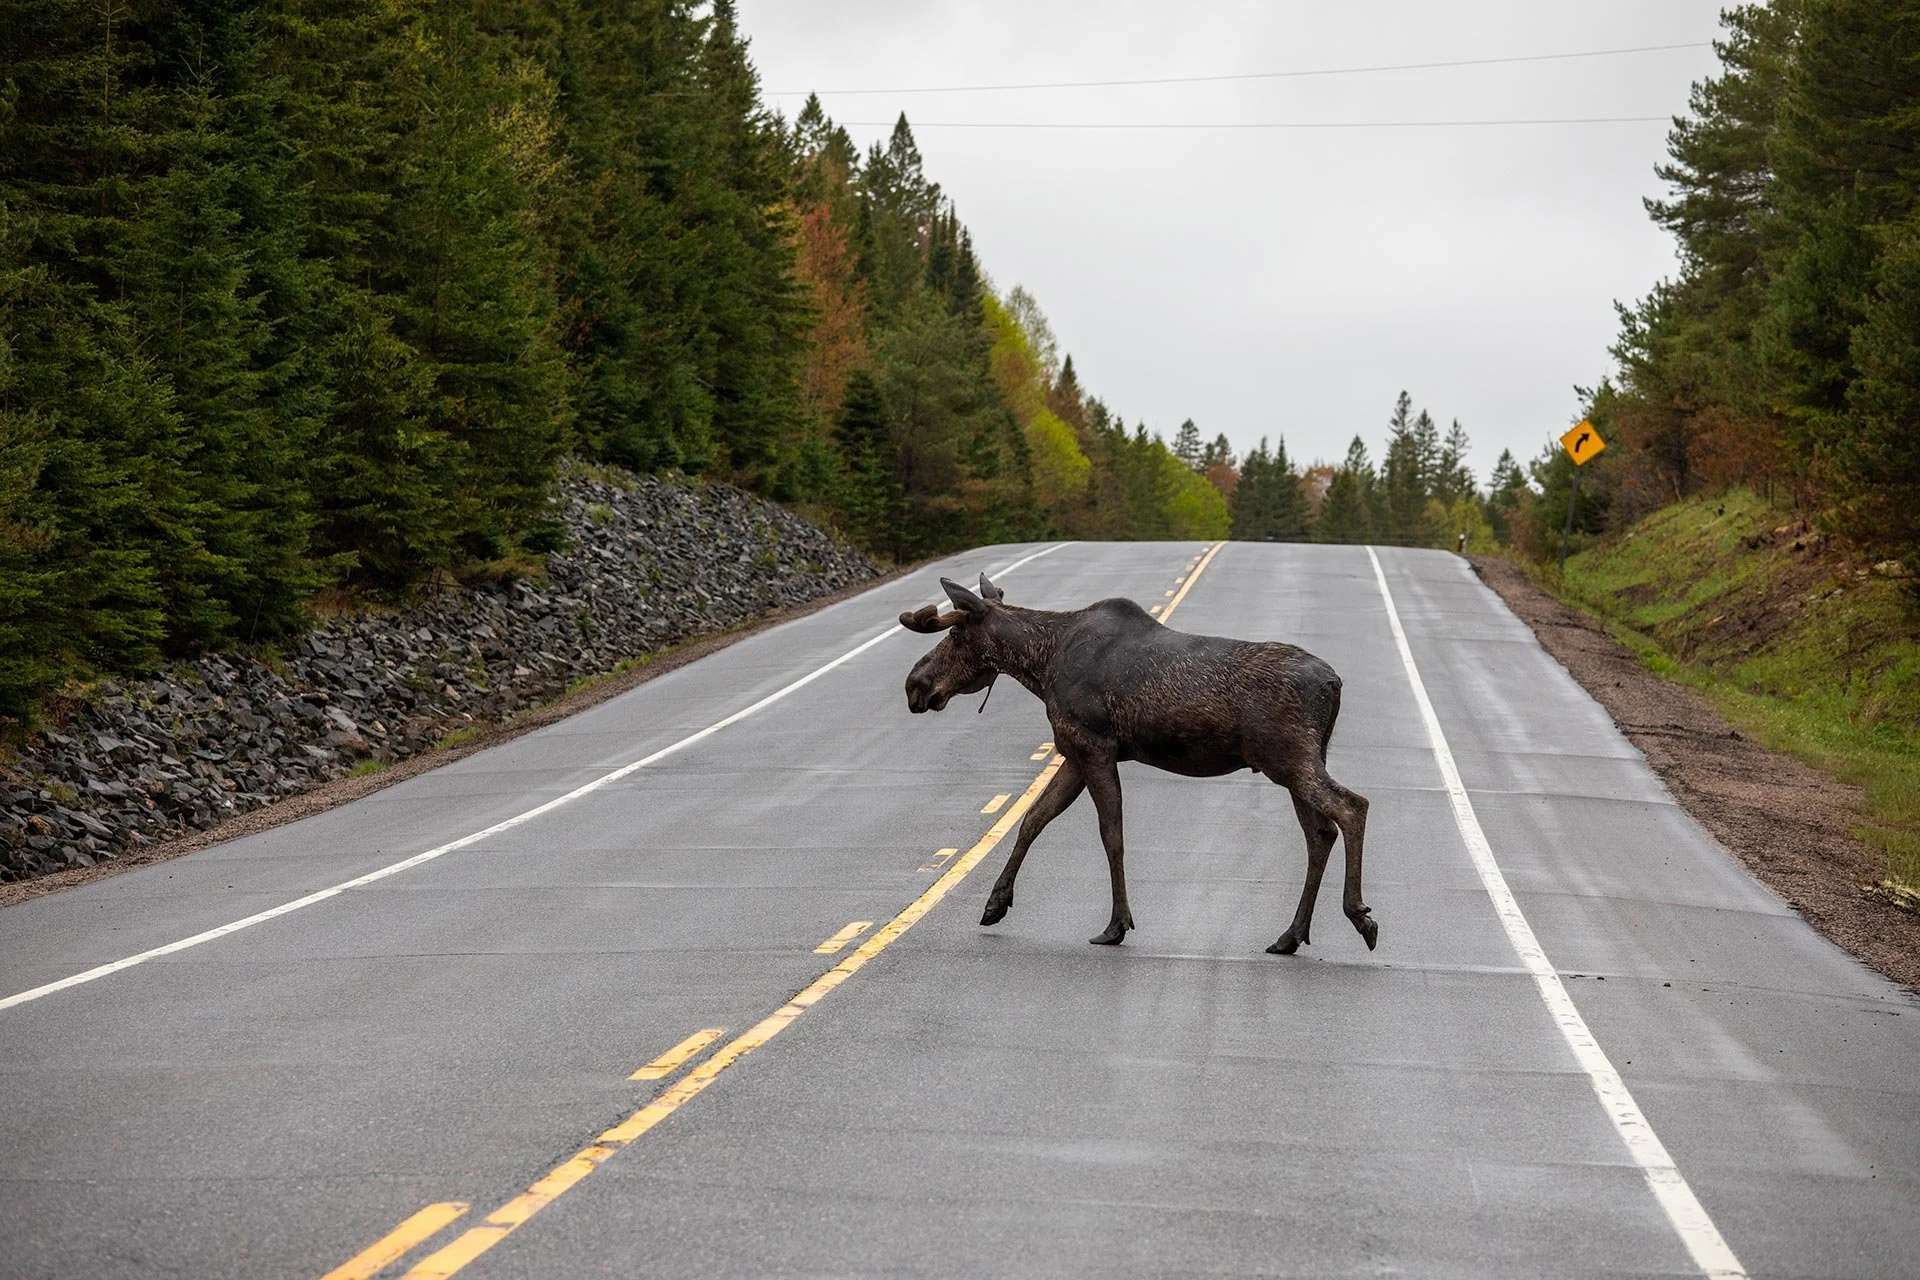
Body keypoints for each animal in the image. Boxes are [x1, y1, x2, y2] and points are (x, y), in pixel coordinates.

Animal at [901, 573, 1375, 953]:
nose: (915, 684)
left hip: (1289, 759)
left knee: (1352, 806)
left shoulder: (1093, 746)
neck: (1040, 663)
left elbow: (1111, 835)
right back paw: (1290, 936)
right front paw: (995, 903)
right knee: (1320, 834)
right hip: (1299, 761)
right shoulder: (1075, 753)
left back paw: (1359, 916)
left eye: (956, 635)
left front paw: (1116, 925)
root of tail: (1334, 683)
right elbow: (1033, 820)